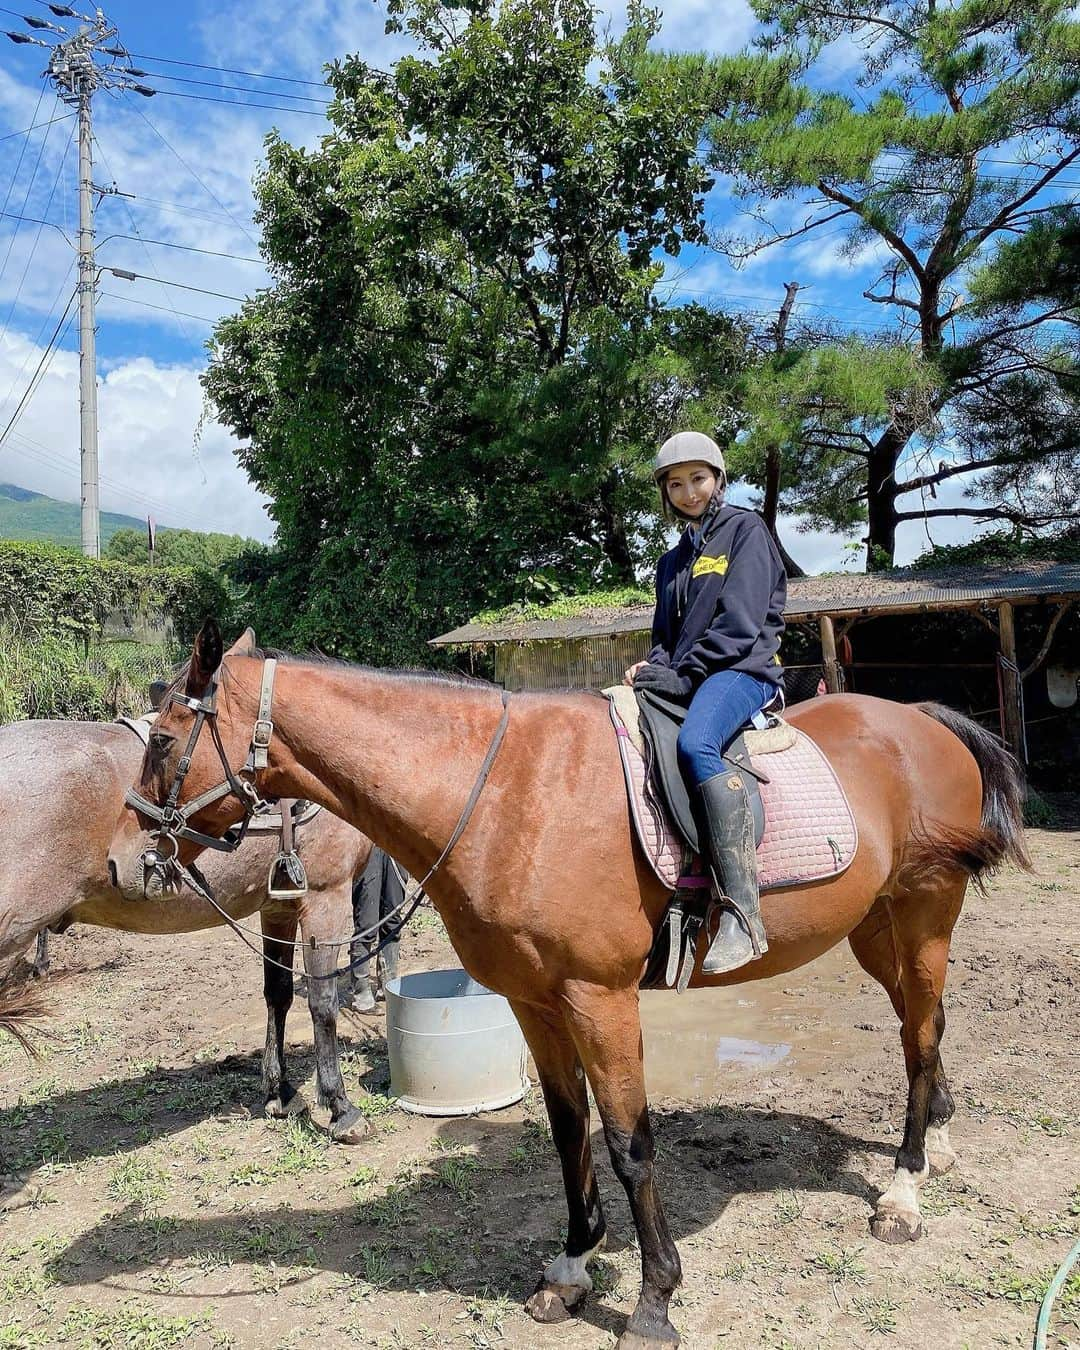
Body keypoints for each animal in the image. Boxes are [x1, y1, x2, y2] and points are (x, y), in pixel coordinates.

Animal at [0, 712, 375, 1144]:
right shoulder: (326, 899)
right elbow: (322, 1004)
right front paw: (340, 1107)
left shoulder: (279, 907)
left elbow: (278, 995)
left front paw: (279, 1092)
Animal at [103, 626, 1031, 1350]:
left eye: (162, 741)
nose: (119, 860)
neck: (507, 795)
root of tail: (922, 720)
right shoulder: (535, 1000)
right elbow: (566, 1132)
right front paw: (572, 1266)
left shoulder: (599, 997)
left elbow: (628, 1144)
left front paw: (655, 1302)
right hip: (877, 928)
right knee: (922, 1027)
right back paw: (937, 1143)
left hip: (925, 914)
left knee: (920, 1034)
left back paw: (905, 1191)